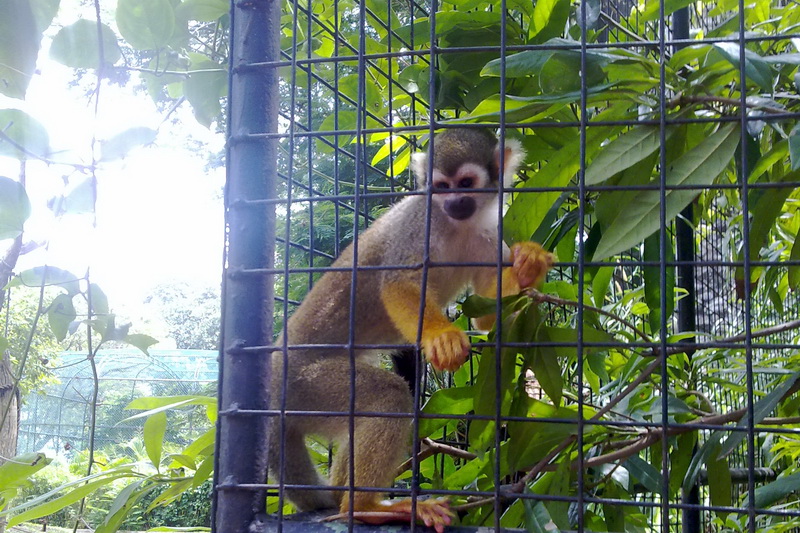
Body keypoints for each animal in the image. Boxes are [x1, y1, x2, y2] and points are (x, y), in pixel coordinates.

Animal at [268, 128, 552, 528]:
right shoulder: (419, 222)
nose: (454, 202)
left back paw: (346, 498)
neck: (456, 224)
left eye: (466, 184)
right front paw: (441, 337)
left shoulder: (486, 235)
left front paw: (529, 265)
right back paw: (363, 507)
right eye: (441, 187)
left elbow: (485, 318)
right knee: (386, 396)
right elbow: (397, 283)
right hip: (305, 388)